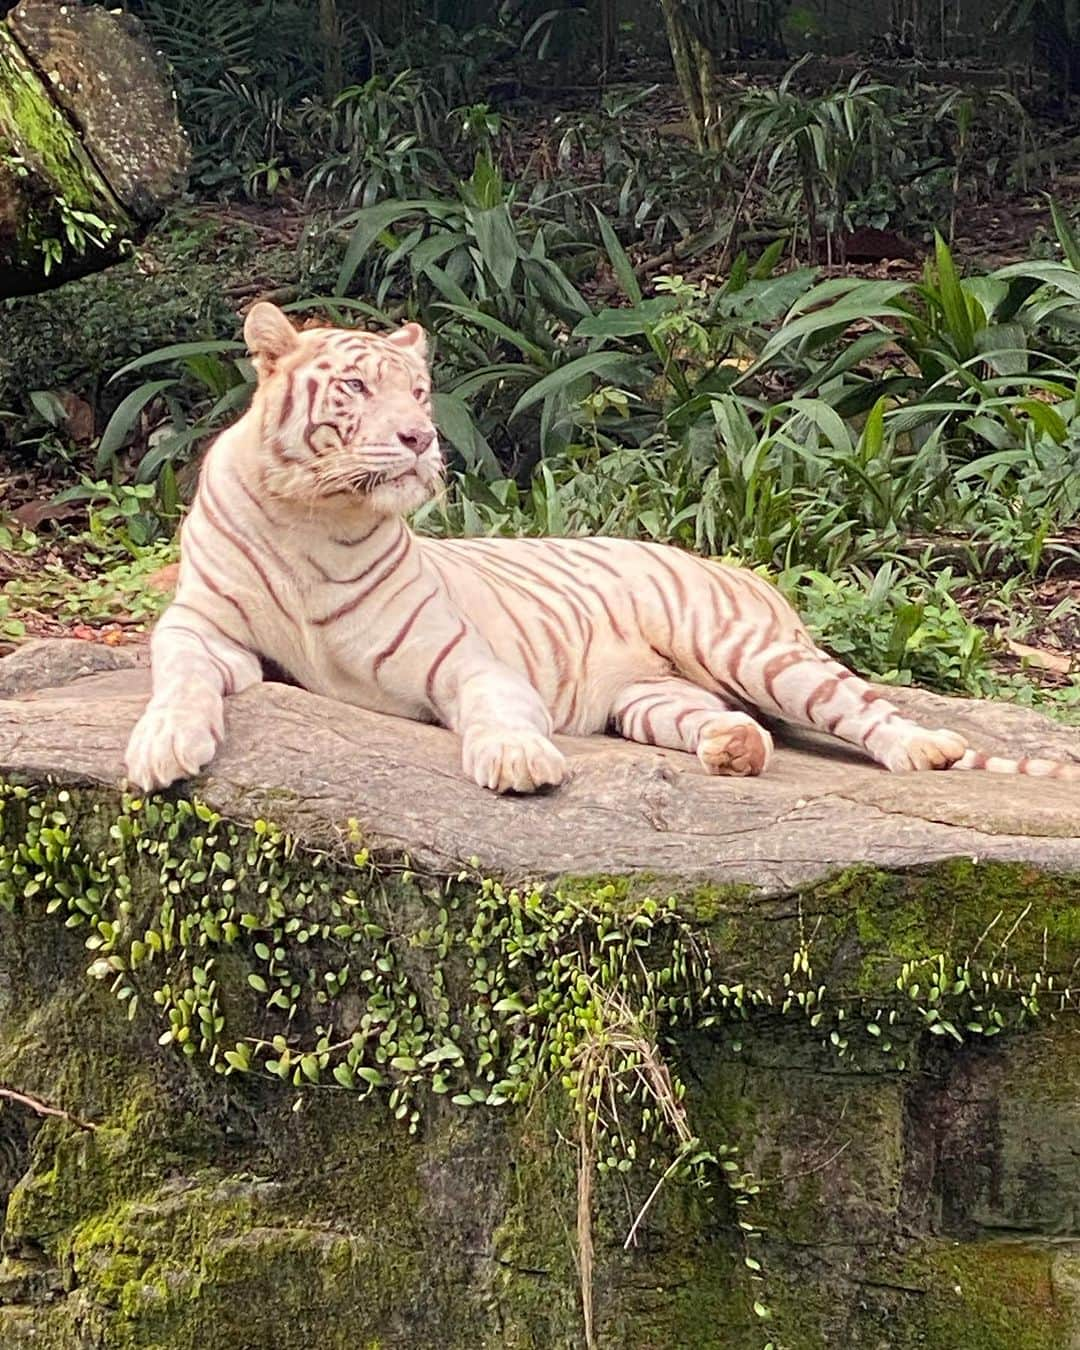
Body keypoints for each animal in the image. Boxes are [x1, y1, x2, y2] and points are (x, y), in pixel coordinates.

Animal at [124, 301, 1069, 793]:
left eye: (420, 391)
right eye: (355, 387)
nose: (421, 439)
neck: (313, 518)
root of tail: (738, 569)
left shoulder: (461, 659)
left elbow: (494, 704)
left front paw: (516, 758)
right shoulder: (201, 629)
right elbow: (179, 680)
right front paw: (161, 748)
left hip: (749, 650)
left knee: (864, 706)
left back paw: (924, 749)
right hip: (648, 697)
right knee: (729, 724)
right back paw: (734, 749)